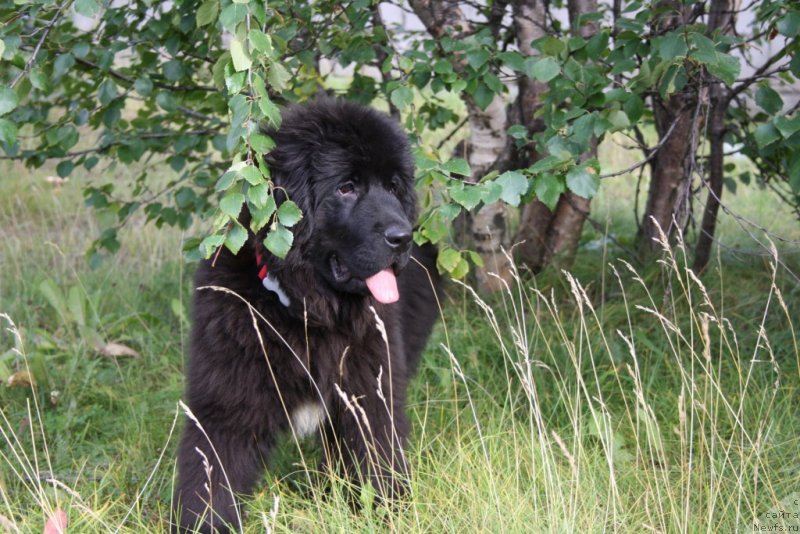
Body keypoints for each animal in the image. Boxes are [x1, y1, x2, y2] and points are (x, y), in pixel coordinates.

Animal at [171, 100, 440, 534]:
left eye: (394, 186)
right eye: (346, 187)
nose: (403, 238)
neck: (306, 308)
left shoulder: (369, 392)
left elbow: (378, 456)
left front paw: (390, 514)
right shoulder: (228, 401)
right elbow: (212, 476)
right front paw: (204, 524)